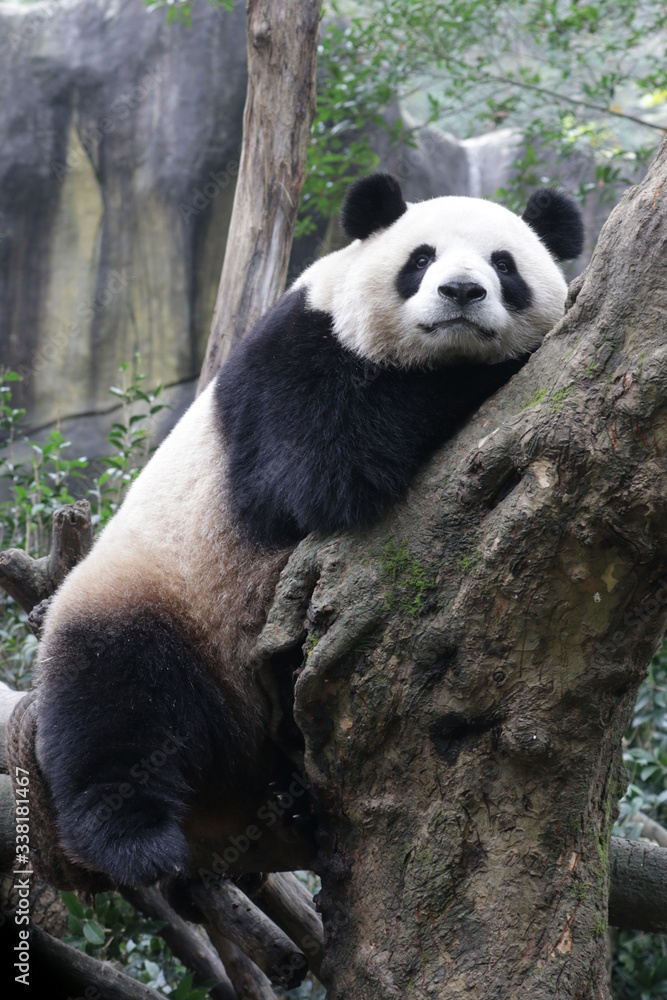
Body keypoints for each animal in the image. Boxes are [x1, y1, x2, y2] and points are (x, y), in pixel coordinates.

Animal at [33, 173, 583, 886]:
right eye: (422, 259)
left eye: (505, 265)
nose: (463, 292)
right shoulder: (294, 359)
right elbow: (329, 467)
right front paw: (492, 368)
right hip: (149, 595)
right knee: (113, 705)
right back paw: (135, 839)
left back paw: (290, 800)